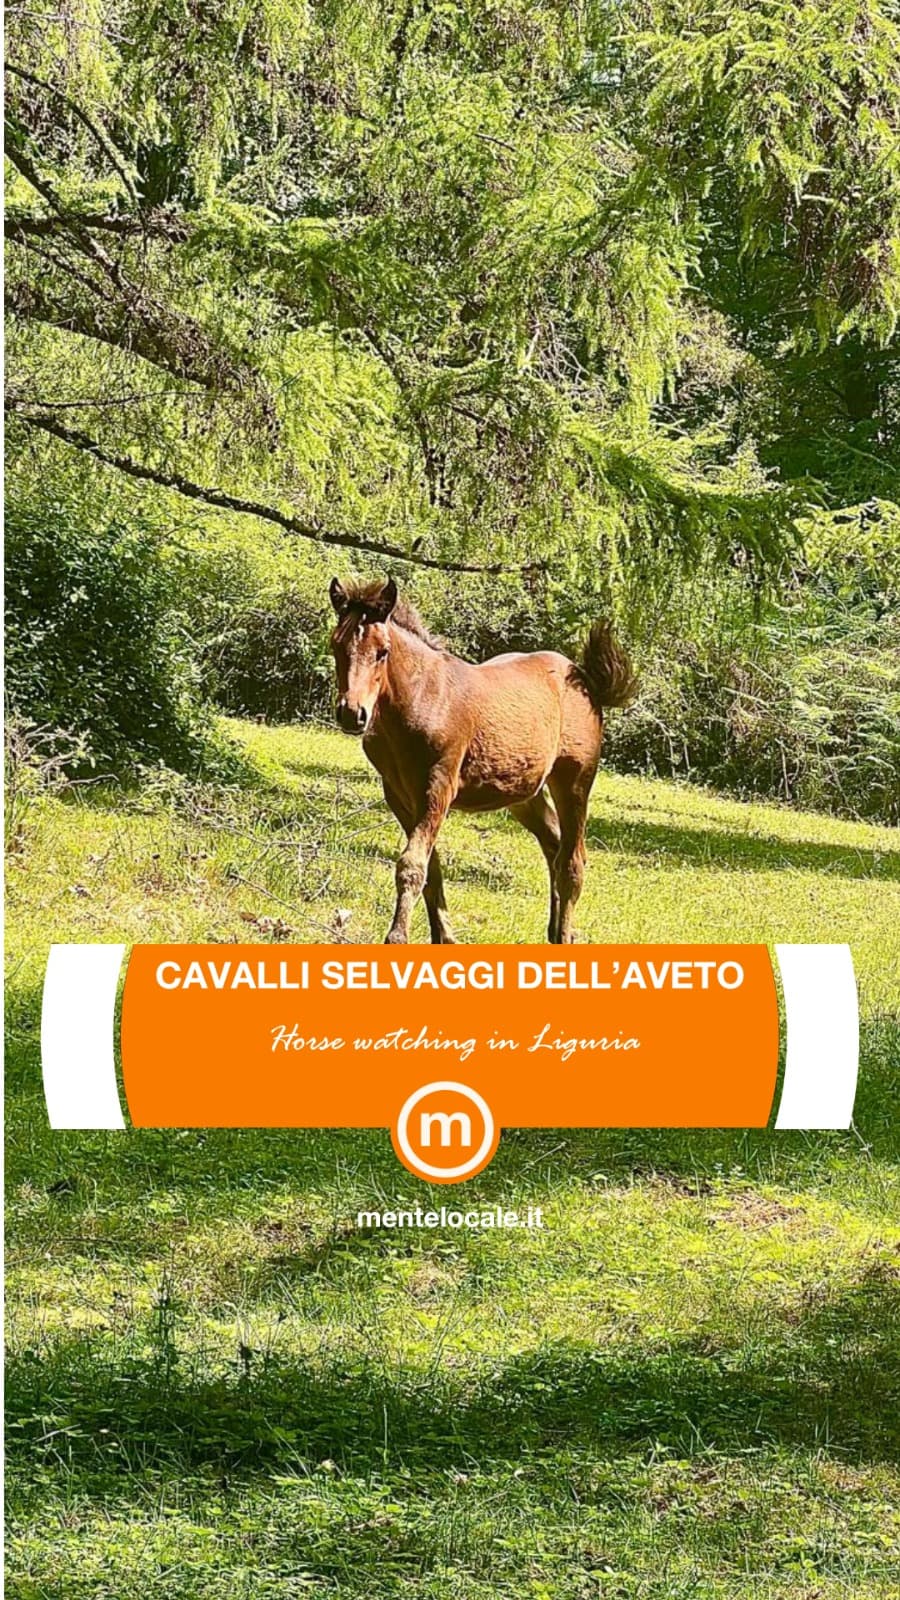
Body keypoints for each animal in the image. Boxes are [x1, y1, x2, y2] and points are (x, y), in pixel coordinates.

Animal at [328, 576, 635, 945]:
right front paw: (444, 937)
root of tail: (584, 678)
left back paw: (563, 934)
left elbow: (412, 866)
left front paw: (397, 937)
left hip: (574, 782)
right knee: (554, 846)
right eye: (335, 646)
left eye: (382, 652)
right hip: (525, 795)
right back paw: (554, 929)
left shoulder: (438, 789)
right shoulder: (399, 796)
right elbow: (431, 869)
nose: (352, 713)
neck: (422, 698)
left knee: (572, 862)